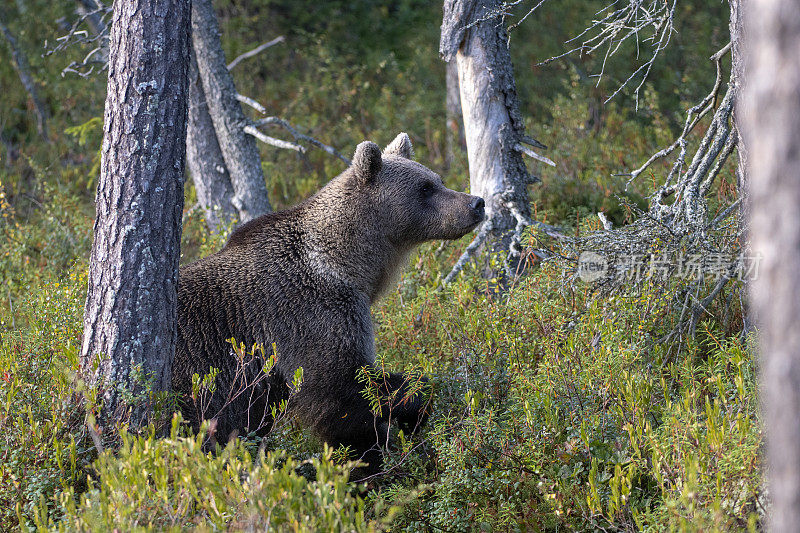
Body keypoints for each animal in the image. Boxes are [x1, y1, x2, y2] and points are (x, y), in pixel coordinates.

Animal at [174, 132, 484, 470]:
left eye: (438, 179)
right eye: (425, 187)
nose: (476, 203)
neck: (349, 266)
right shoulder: (308, 312)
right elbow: (337, 389)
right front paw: (370, 452)